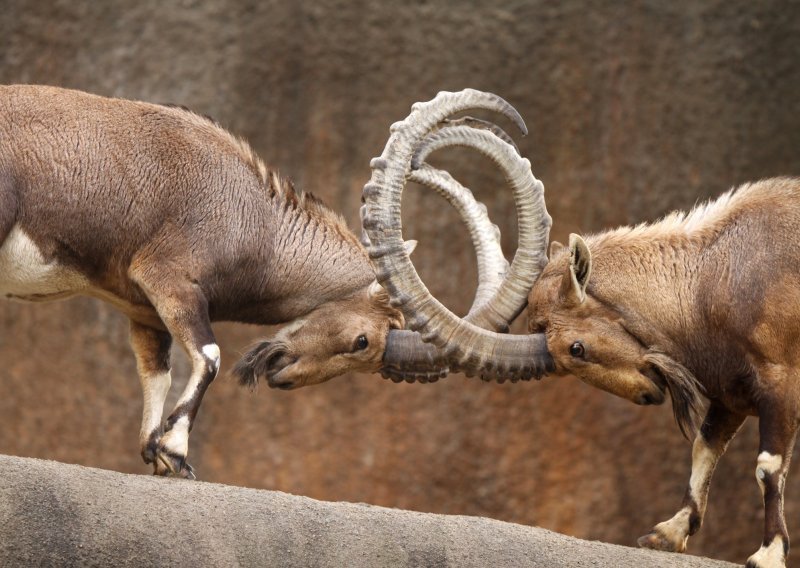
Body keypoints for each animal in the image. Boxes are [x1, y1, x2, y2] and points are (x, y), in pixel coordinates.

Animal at [364, 89, 800, 568]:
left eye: (576, 348)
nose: (648, 394)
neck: (709, 278)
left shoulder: (779, 383)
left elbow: (767, 466)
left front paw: (768, 553)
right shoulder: (731, 393)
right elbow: (705, 446)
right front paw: (667, 533)